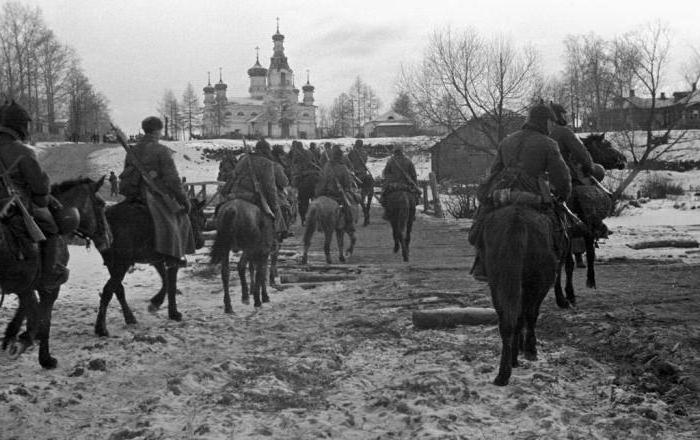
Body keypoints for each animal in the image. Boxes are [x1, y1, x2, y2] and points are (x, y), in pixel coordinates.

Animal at [1, 176, 111, 368]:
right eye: (101, 204)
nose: (108, 239)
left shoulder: (27, 283)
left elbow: (28, 306)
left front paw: (15, 336)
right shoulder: (50, 286)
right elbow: (44, 319)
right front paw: (45, 357)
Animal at [94, 198, 206, 336]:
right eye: (201, 218)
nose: (201, 242)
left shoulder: (157, 260)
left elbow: (165, 280)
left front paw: (156, 302)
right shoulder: (173, 258)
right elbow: (171, 283)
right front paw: (173, 313)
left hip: (112, 263)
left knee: (118, 289)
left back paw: (129, 318)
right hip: (122, 263)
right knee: (108, 290)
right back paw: (101, 328)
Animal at [482, 204, 556, 384]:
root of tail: (517, 221)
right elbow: (530, 316)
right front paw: (530, 348)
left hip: (497, 283)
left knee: (506, 321)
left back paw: (503, 372)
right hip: (534, 284)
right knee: (525, 315)